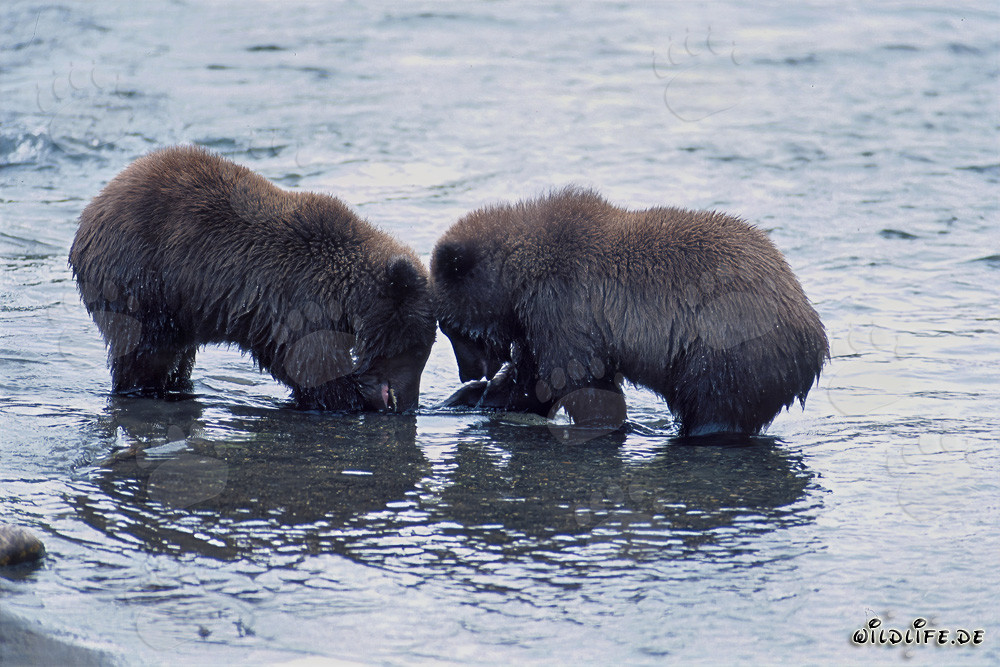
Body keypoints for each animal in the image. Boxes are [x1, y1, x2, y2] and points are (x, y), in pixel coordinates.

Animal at [69, 146, 435, 412]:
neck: (346, 295)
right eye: (417, 348)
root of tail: (91, 210)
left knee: (176, 354)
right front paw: (349, 396)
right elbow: (309, 364)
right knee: (143, 351)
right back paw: (144, 390)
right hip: (140, 281)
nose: (408, 403)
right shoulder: (301, 303)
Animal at [431, 187, 829, 436]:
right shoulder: (536, 323)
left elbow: (576, 380)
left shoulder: (566, 307)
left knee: (714, 404)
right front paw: (468, 398)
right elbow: (531, 378)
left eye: (454, 329)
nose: (468, 372)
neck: (521, 281)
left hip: (727, 344)